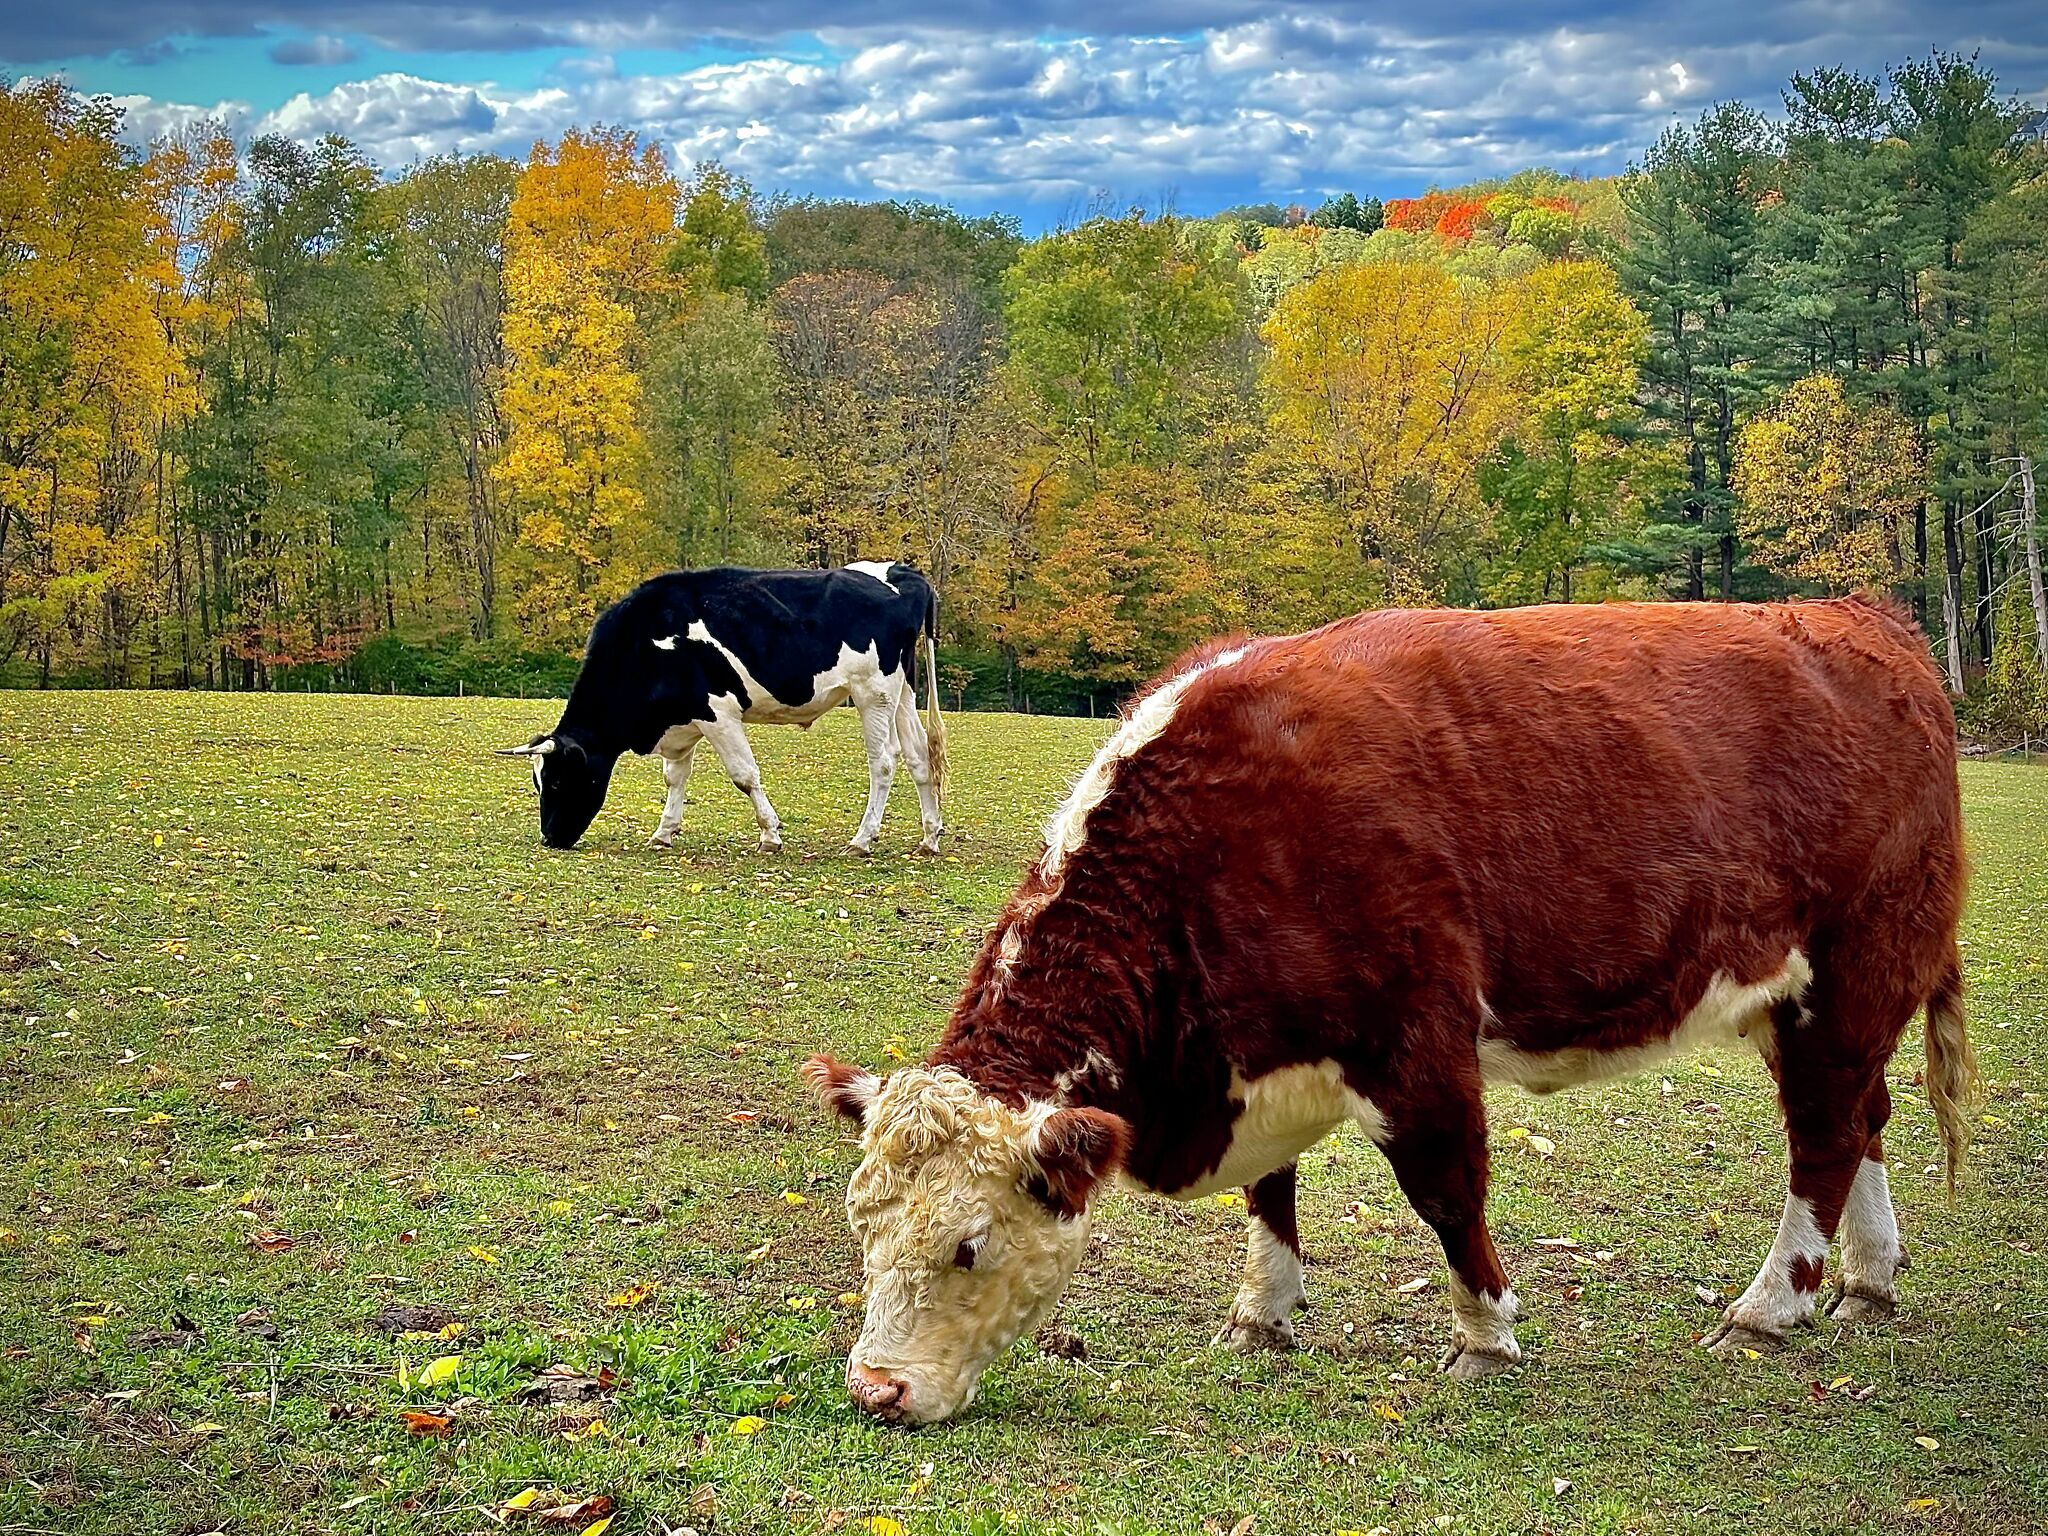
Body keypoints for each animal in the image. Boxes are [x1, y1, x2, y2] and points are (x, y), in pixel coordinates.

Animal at [499, 562, 947, 854]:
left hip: (874, 692)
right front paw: (664, 832)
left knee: (883, 762)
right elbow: (674, 777)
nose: (550, 838)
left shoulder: (717, 713)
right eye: (538, 783)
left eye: (557, 781)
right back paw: (929, 837)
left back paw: (862, 839)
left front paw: (770, 834)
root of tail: (904, 574)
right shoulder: (684, 718)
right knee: (918, 757)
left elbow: (744, 775)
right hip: (902, 692)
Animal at [802, 596, 1977, 1425]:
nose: (875, 1391)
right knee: (1861, 1119)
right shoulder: (1256, 1051)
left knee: (1823, 1135)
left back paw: (1768, 1307)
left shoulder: (1417, 1043)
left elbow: (1445, 1192)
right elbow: (1269, 1193)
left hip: (1855, 967)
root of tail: (1863, 620)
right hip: (1800, 1000)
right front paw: (1261, 1312)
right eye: (862, 1226)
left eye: (968, 1247)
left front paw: (1483, 1335)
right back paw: (1865, 1281)